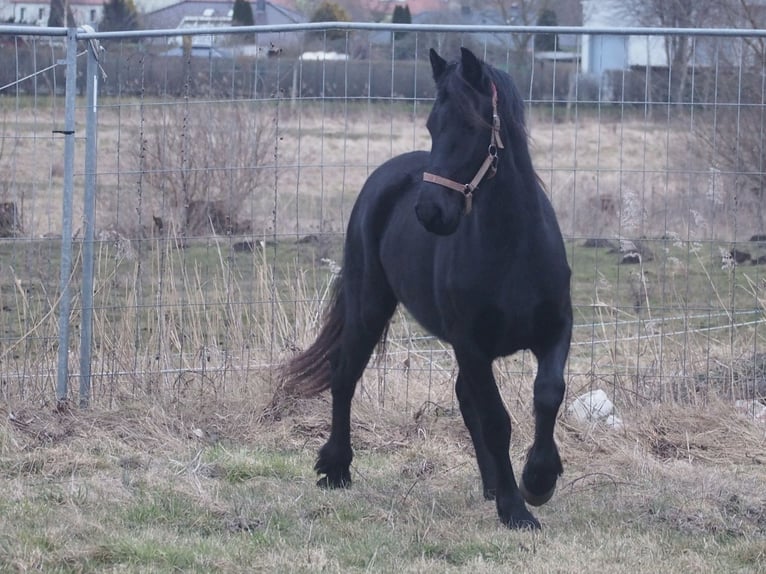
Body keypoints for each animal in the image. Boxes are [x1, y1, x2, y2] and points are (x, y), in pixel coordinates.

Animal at [284, 48, 572, 532]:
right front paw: (516, 509)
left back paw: (491, 485)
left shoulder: (555, 331)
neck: (513, 249)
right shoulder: (471, 345)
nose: (430, 212)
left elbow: (548, 394)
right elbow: (496, 420)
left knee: (465, 399)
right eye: (433, 126)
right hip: (369, 306)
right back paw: (336, 468)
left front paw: (538, 480)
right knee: (345, 375)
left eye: (473, 127)